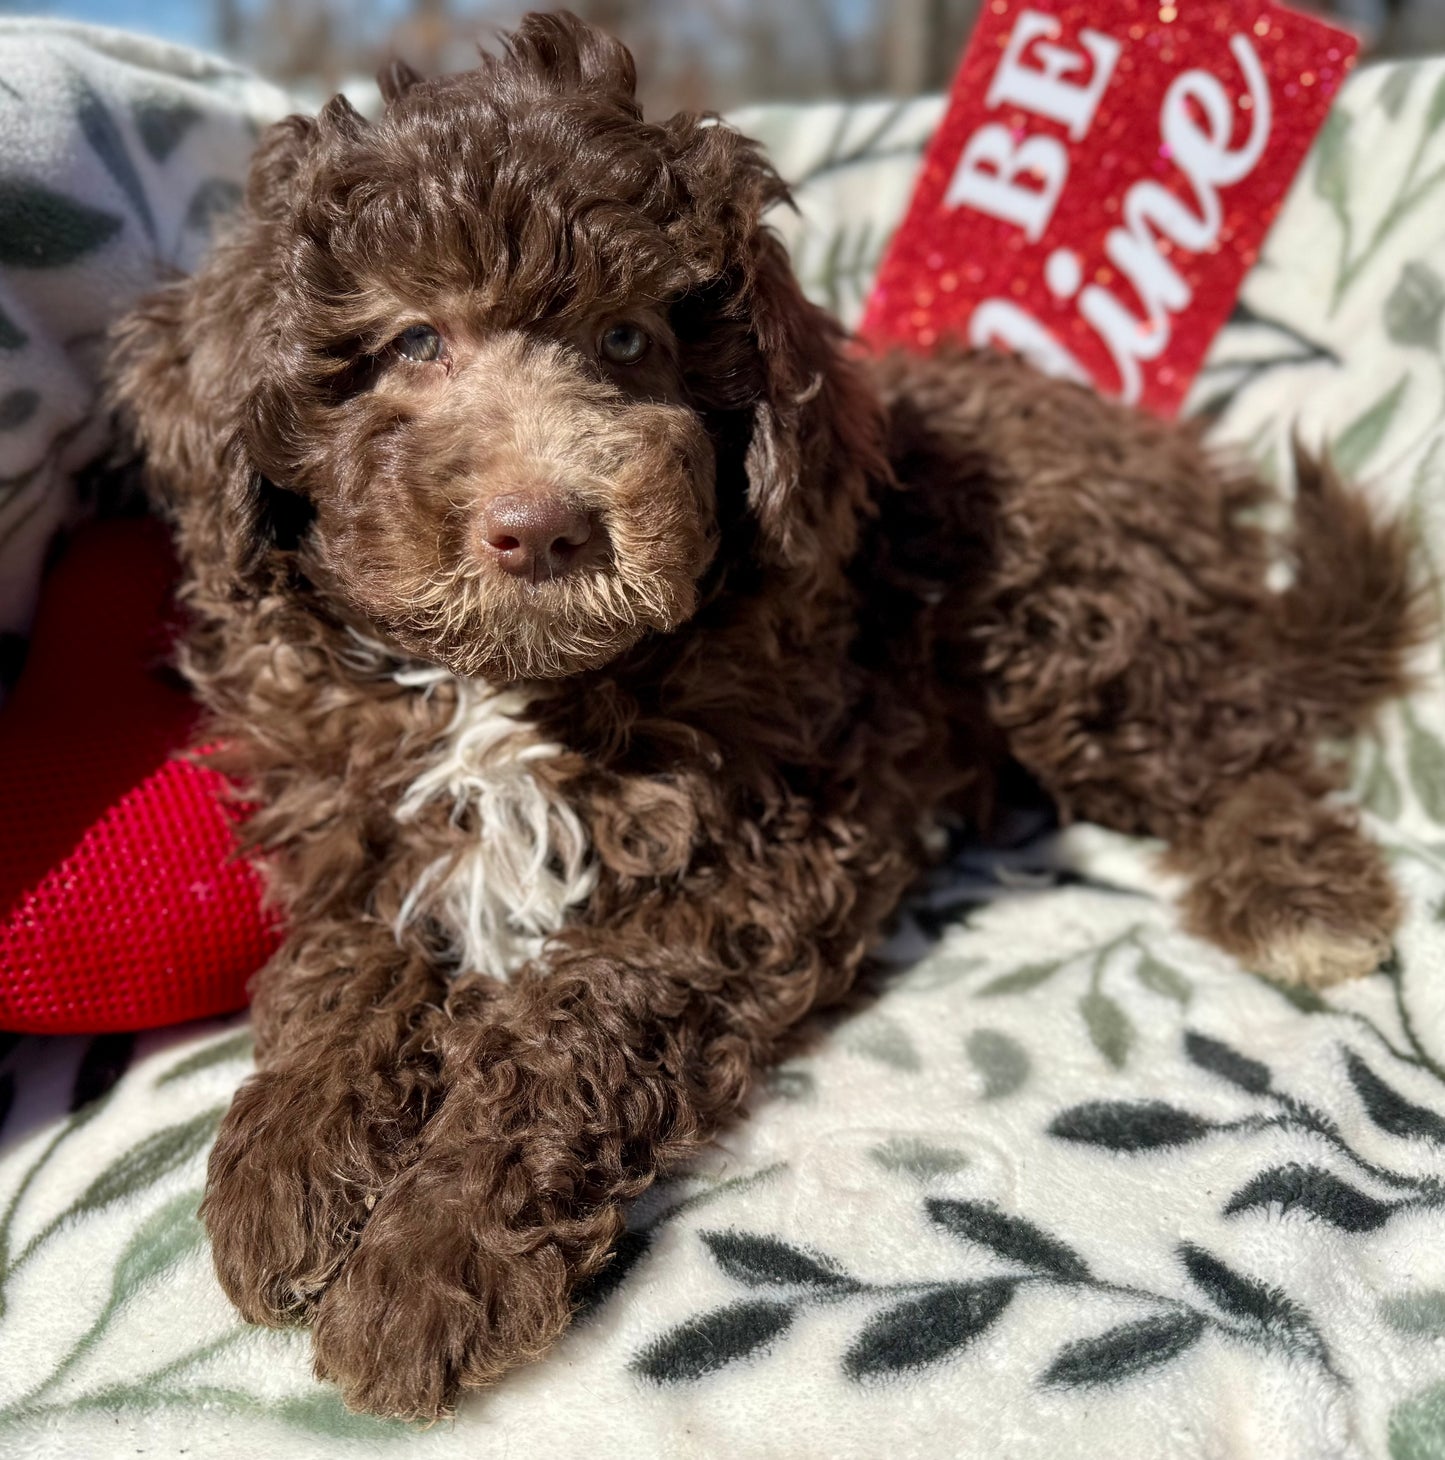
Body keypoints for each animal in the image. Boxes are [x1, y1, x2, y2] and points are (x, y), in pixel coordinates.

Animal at [110, 11, 1424, 1419]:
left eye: (630, 340)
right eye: (413, 343)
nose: (548, 526)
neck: (505, 688)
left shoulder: (766, 848)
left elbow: (575, 1015)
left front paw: (431, 1259)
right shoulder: (356, 815)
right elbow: (346, 956)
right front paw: (291, 1160)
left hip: (1064, 614)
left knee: (1227, 737)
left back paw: (1300, 894)